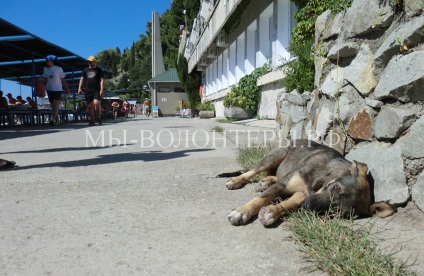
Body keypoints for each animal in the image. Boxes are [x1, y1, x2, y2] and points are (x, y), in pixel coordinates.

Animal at [224, 140, 396, 226]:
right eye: (335, 187)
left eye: (337, 213)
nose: (306, 207)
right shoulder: (286, 185)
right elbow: (261, 199)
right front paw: (242, 212)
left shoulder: (302, 195)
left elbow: (288, 204)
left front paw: (272, 212)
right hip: (275, 156)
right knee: (252, 171)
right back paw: (236, 181)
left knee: (273, 176)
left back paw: (265, 182)